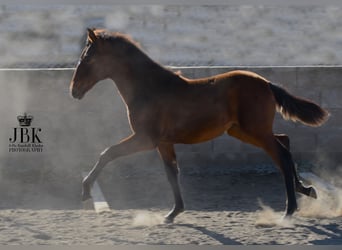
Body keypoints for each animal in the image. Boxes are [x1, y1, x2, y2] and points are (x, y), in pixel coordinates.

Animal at [69, 27, 328, 223]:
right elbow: (171, 173)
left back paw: (289, 210)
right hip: (244, 131)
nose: (73, 90)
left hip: (255, 132)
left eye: (87, 57)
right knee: (285, 142)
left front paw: (84, 190)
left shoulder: (146, 138)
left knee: (282, 155)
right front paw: (173, 213)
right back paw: (306, 189)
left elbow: (107, 152)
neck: (149, 88)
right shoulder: (163, 143)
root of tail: (266, 83)